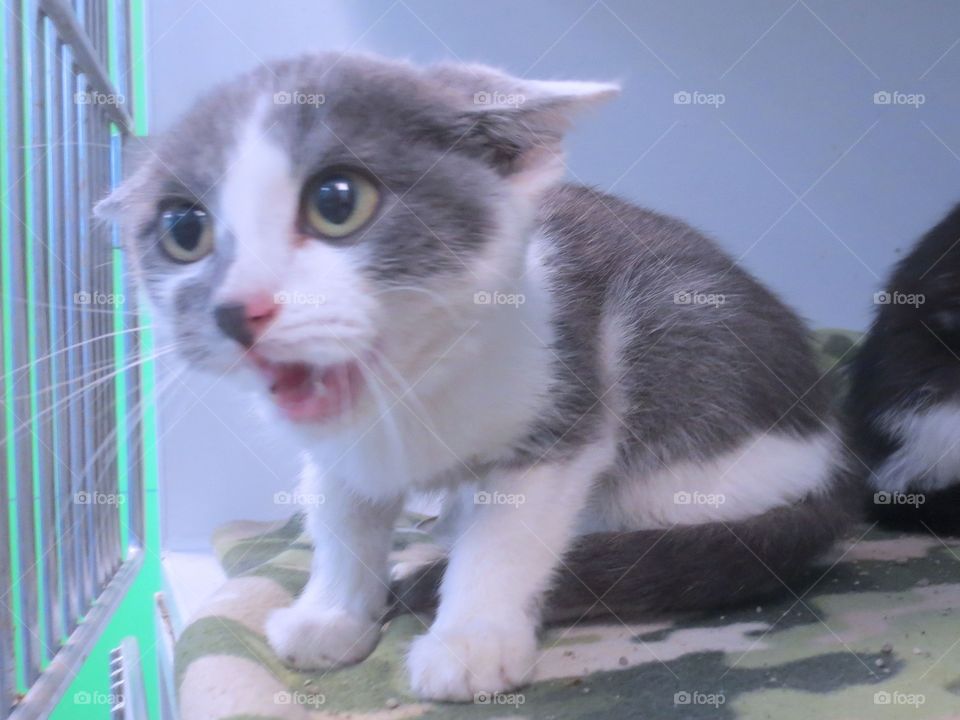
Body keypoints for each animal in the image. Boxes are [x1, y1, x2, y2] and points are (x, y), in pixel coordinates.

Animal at [94, 53, 852, 700]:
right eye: (183, 230)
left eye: (337, 202)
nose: (236, 311)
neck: (405, 393)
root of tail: (832, 459)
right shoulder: (335, 453)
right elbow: (342, 519)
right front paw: (334, 612)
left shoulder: (566, 407)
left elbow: (509, 536)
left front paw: (470, 640)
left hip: (678, 384)